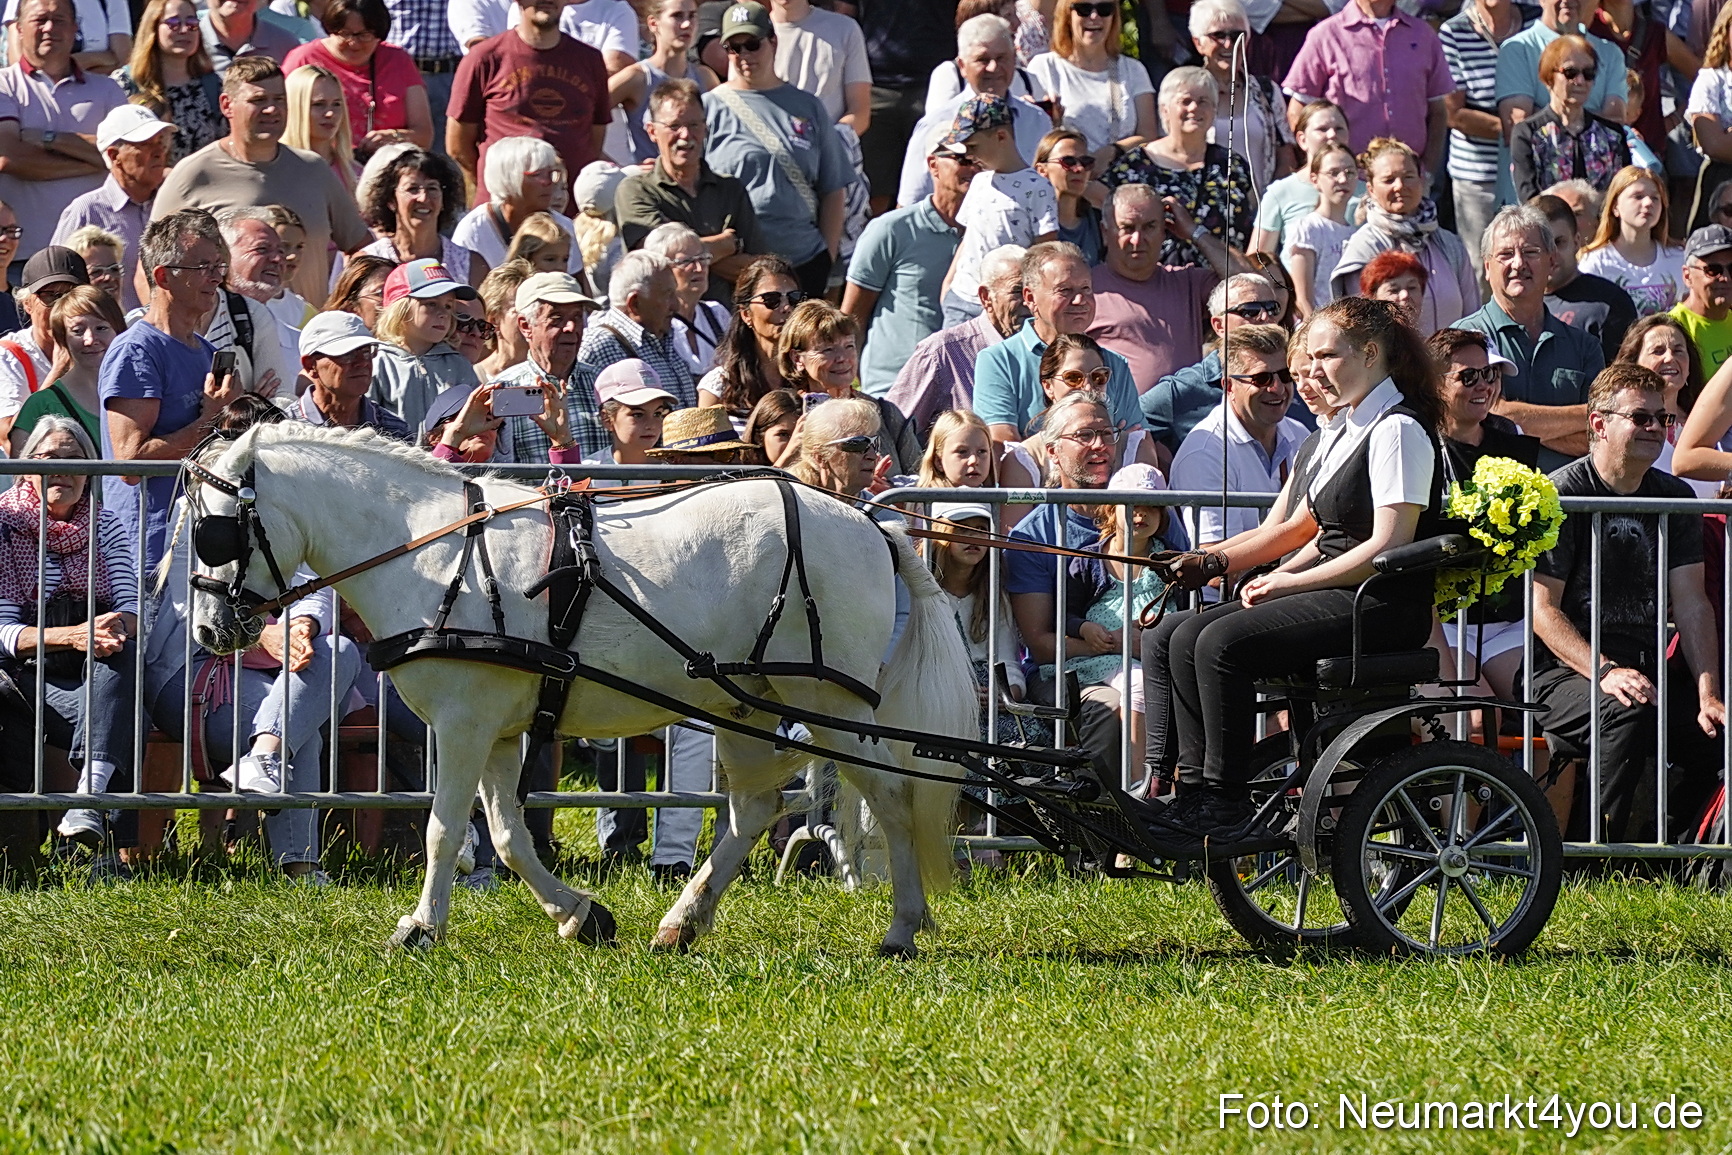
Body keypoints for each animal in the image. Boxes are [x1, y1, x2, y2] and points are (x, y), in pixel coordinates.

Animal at [181, 423, 978, 957]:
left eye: (214, 532)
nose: (210, 630)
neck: (434, 551)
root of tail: (870, 522)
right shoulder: (501, 726)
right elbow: (506, 836)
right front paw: (580, 914)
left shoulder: (465, 721)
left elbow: (446, 829)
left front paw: (420, 928)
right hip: (743, 699)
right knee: (755, 809)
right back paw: (683, 921)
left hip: (830, 704)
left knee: (892, 799)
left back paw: (902, 927)